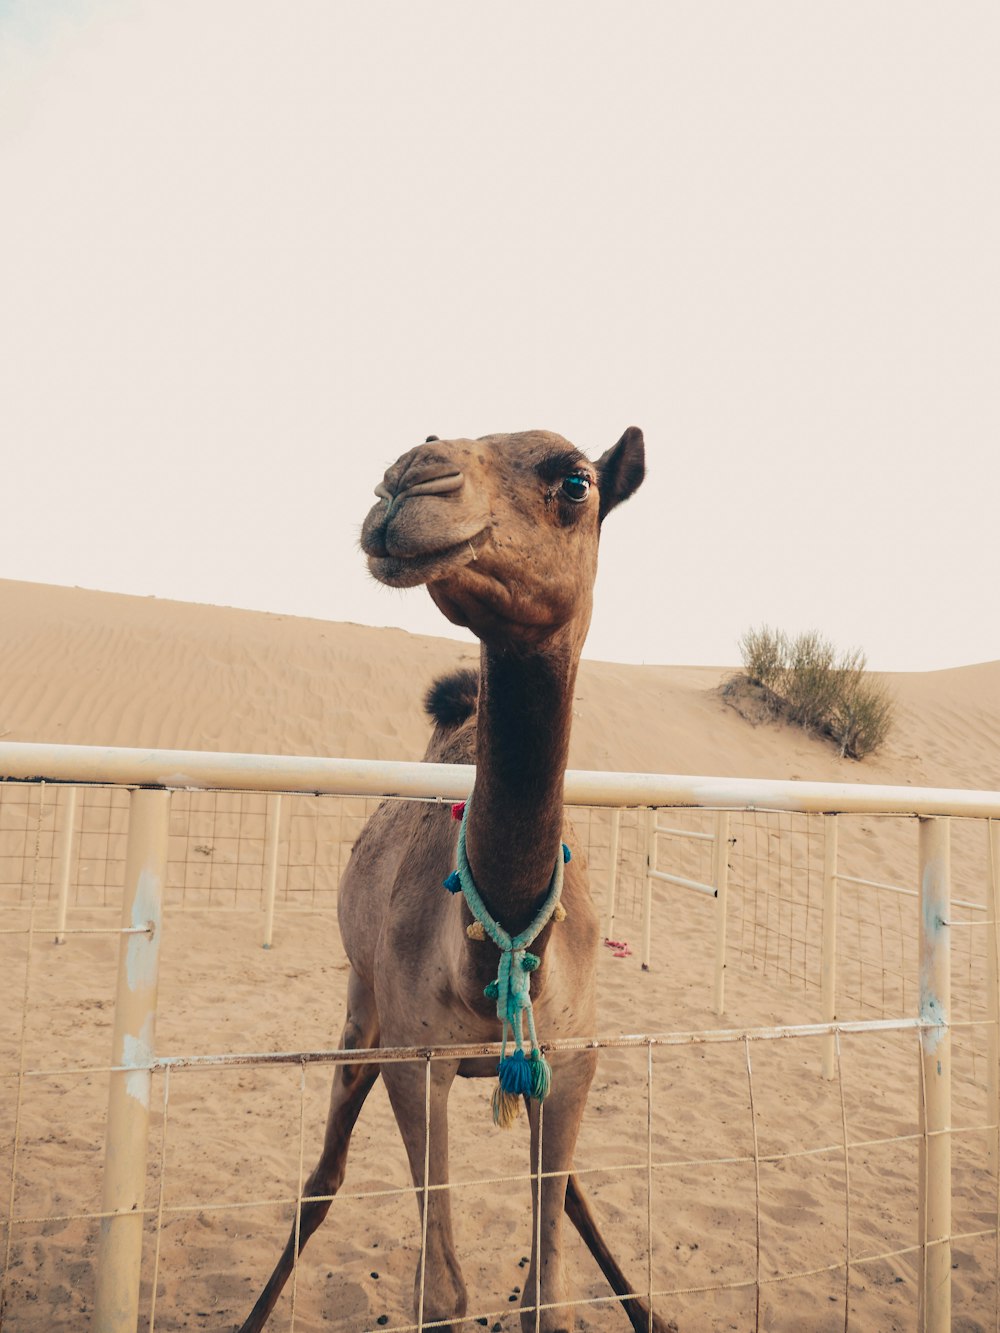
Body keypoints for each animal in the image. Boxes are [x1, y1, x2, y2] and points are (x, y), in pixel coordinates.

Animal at [237, 426, 674, 1333]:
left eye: (575, 481)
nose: (409, 481)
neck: (498, 946)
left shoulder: (573, 1059)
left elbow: (548, 1287)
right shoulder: (418, 1058)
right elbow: (440, 1288)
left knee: (569, 1196)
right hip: (362, 1007)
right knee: (322, 1175)